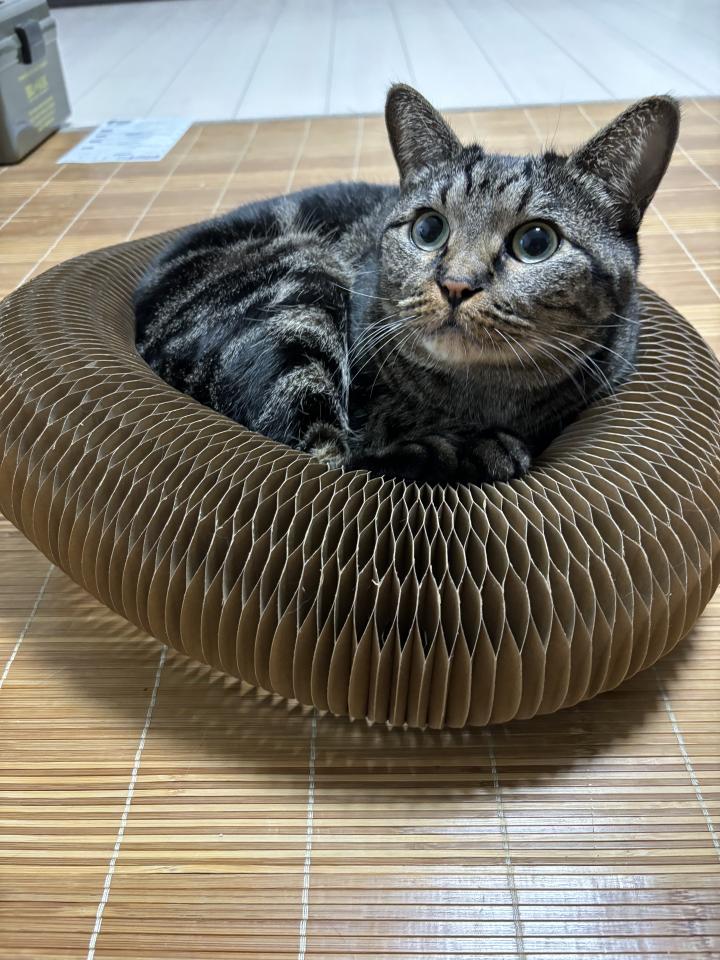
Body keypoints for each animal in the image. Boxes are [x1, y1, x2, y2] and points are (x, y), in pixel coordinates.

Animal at [134, 85, 679, 485]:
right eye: (429, 229)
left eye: (536, 241)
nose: (456, 284)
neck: (479, 398)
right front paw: (479, 447)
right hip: (301, 286)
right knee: (327, 461)